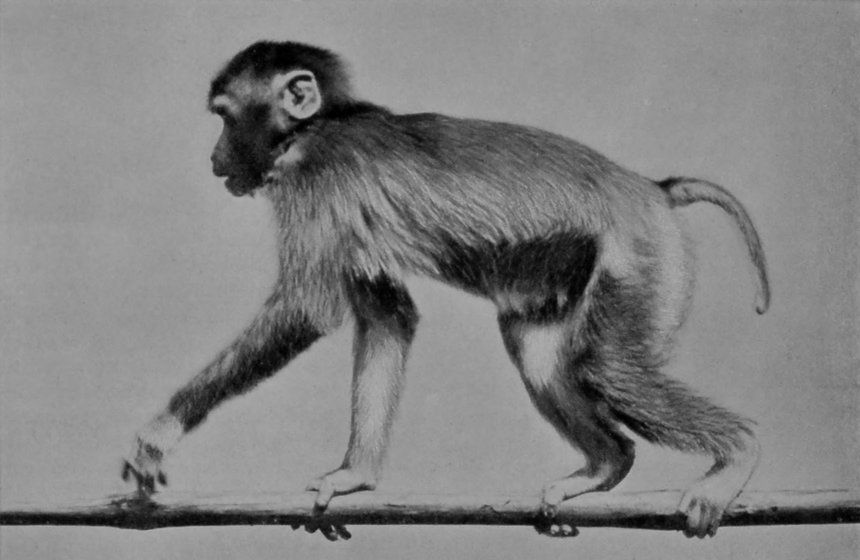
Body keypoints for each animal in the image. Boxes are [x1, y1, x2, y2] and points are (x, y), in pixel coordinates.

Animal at [122, 40, 771, 541]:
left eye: (225, 118)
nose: (214, 158)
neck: (323, 123)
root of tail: (653, 188)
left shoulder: (316, 177)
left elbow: (307, 311)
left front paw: (161, 430)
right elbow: (389, 318)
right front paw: (355, 478)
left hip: (642, 254)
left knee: (607, 366)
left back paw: (737, 454)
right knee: (541, 356)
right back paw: (604, 467)